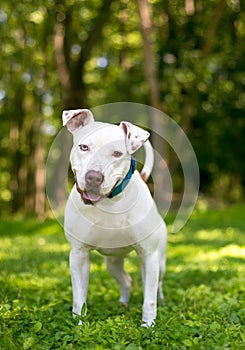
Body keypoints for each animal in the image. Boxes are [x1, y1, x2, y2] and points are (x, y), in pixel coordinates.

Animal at [62, 108, 167, 326]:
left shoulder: (148, 255)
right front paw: (80, 326)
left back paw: (160, 300)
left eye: (117, 153)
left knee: (156, 285)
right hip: (112, 263)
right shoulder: (78, 255)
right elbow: (79, 299)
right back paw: (122, 304)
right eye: (84, 147)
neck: (108, 204)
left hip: (159, 262)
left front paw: (148, 326)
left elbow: (149, 299)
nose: (94, 177)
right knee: (126, 280)